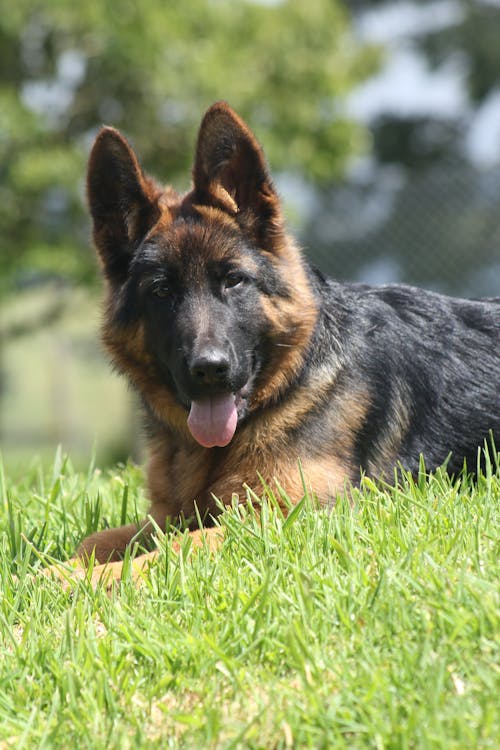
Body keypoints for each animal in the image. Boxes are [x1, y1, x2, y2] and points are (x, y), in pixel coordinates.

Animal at [67, 98, 500, 580]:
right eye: (160, 291)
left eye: (234, 280)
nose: (209, 370)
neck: (285, 386)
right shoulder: (166, 517)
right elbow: (94, 541)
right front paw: (50, 572)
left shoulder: (279, 518)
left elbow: (171, 549)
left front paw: (79, 582)